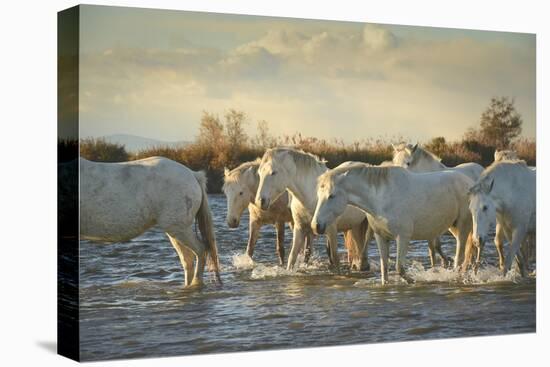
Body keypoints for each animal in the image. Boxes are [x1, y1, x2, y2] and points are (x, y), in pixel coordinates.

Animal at [78, 156, 221, 288]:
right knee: (188, 260)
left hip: (179, 228)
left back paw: (196, 284)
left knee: (200, 250)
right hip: (175, 230)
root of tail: (193, 174)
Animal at [314, 165, 474, 286]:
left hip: (463, 227)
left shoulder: (402, 237)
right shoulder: (381, 237)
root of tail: (469, 182)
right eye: (319, 196)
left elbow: (399, 268)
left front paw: (414, 281)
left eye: (331, 196)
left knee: (459, 258)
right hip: (453, 227)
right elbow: (384, 268)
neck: (380, 199)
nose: (316, 226)